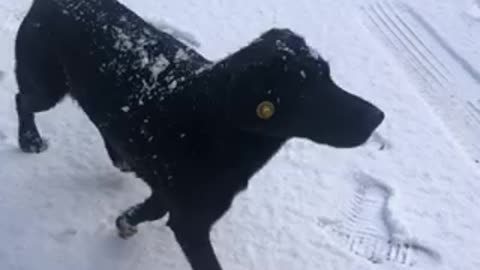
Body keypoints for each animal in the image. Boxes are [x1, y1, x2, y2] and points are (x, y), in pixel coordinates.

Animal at [14, 0, 386, 270]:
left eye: (329, 76)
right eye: (308, 93)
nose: (379, 117)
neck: (216, 123)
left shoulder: (173, 199)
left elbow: (148, 210)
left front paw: (124, 221)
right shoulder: (191, 223)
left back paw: (119, 157)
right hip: (47, 86)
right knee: (22, 100)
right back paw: (29, 140)